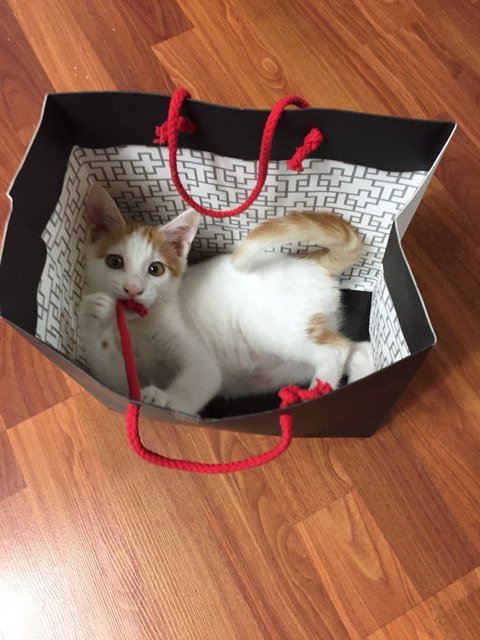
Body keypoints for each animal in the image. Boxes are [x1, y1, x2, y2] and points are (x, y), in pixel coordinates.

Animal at [79, 186, 374, 415]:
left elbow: (202, 378)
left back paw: (317, 392)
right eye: (114, 262)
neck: (139, 325)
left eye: (156, 269)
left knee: (335, 348)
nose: (133, 289)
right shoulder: (122, 381)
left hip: (273, 327)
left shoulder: (193, 348)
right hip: (291, 362)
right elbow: (116, 383)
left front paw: (168, 400)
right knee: (356, 348)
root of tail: (310, 260)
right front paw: (95, 318)